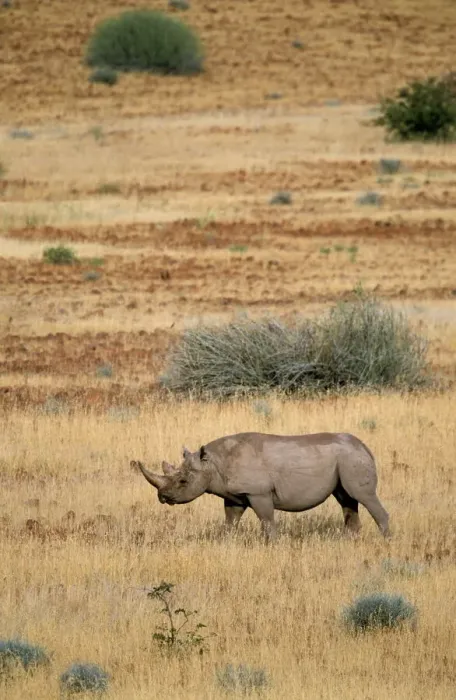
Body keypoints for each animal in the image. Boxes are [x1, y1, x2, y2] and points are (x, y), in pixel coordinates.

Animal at [131, 431, 390, 540]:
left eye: (183, 481)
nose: (163, 497)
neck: (213, 463)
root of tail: (365, 447)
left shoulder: (258, 492)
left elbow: (267, 521)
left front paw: (272, 544)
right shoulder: (234, 495)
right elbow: (230, 522)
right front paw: (225, 542)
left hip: (352, 459)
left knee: (363, 497)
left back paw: (386, 541)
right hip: (345, 460)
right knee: (346, 499)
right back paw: (349, 541)